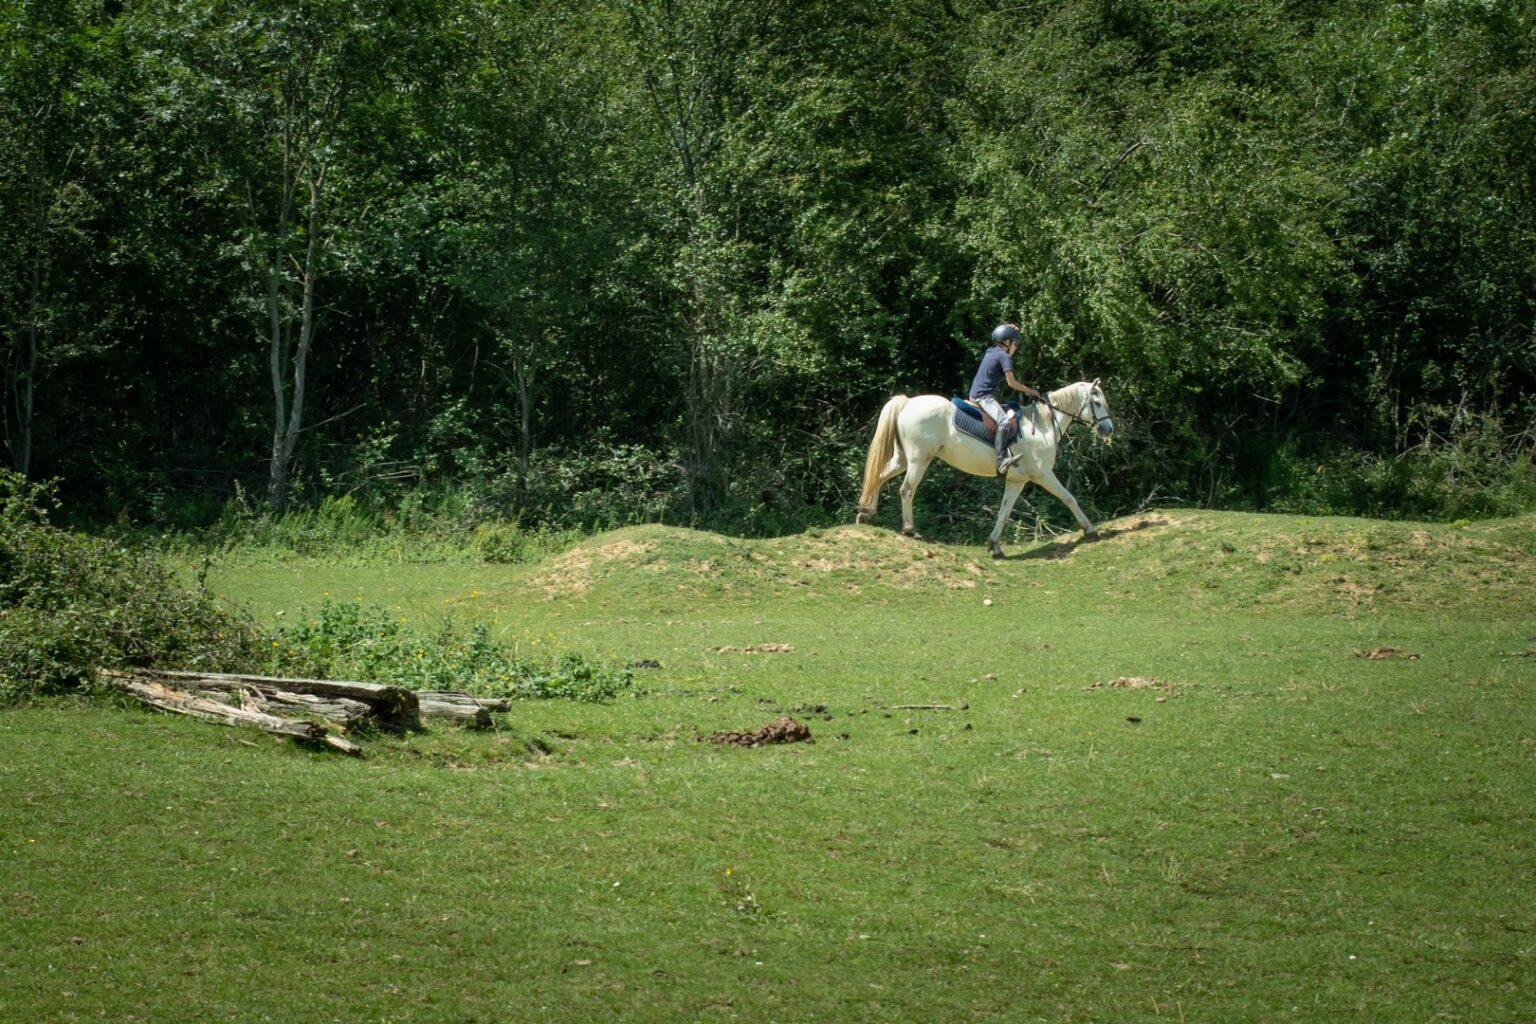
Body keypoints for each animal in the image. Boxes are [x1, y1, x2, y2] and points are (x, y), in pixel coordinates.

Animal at [854, 379, 1118, 555]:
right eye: (1097, 402)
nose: (1108, 430)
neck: (1042, 426)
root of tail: (908, 403)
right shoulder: (1043, 475)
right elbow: (1069, 497)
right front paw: (1090, 529)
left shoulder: (1016, 480)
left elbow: (1004, 511)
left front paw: (994, 545)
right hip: (919, 460)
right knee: (907, 490)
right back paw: (909, 529)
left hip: (902, 459)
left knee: (879, 476)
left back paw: (866, 513)